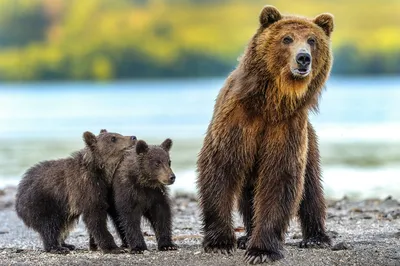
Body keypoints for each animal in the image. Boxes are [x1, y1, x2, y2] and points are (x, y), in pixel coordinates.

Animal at [198, 5, 334, 264]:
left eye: (312, 40)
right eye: (287, 38)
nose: (303, 58)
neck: (271, 103)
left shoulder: (286, 127)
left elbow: (280, 178)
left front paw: (262, 251)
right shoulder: (239, 121)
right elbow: (220, 167)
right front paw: (220, 243)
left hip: (309, 139)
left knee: (310, 186)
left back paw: (316, 237)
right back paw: (245, 236)